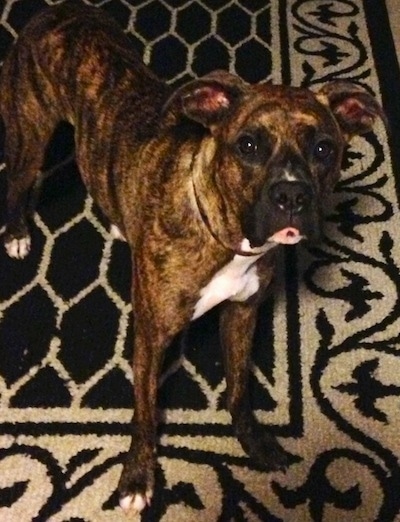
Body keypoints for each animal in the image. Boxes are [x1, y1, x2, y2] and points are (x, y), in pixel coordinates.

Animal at [0, 2, 388, 512]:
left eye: (324, 148)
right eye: (248, 145)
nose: (291, 195)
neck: (226, 238)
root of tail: (54, 12)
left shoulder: (242, 313)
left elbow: (240, 388)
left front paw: (255, 443)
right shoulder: (151, 337)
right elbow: (145, 414)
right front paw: (136, 478)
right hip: (32, 133)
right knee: (17, 182)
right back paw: (17, 232)